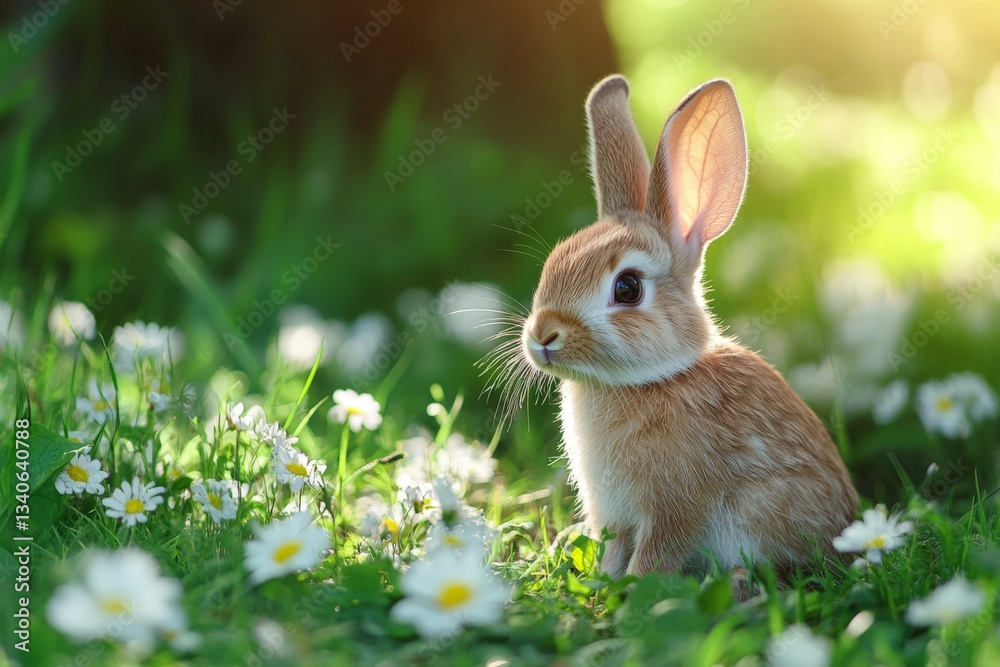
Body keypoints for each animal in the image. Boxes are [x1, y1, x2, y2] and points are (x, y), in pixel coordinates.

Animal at [519, 75, 859, 597]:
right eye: (553, 263)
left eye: (627, 287)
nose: (542, 335)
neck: (650, 380)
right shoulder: (616, 516)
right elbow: (614, 550)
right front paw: (603, 584)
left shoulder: (675, 507)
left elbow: (657, 555)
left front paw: (632, 593)